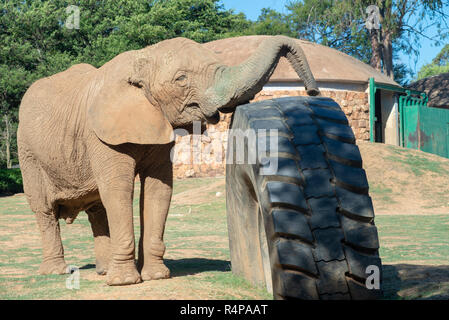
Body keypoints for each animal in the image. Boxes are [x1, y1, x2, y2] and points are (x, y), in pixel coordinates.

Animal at [18, 35, 318, 288]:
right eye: (181, 79)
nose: (312, 90)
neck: (142, 58)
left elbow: (158, 189)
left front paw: (156, 276)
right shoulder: (99, 135)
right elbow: (118, 190)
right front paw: (125, 283)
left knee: (97, 209)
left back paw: (103, 271)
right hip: (27, 153)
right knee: (44, 209)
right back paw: (56, 271)